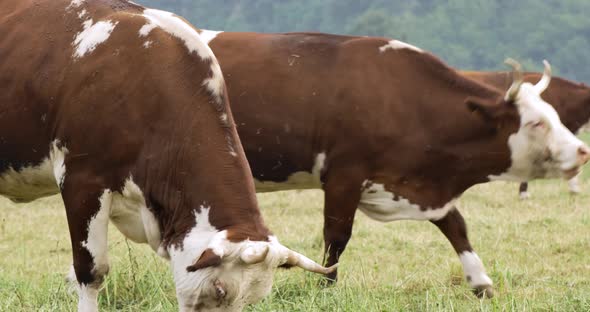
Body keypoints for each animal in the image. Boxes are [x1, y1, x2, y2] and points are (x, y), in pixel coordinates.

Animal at [200, 31, 590, 298]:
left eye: (554, 115)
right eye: (536, 123)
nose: (582, 151)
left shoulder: (418, 184)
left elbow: (456, 226)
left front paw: (480, 282)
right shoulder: (344, 176)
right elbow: (336, 238)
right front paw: (326, 287)